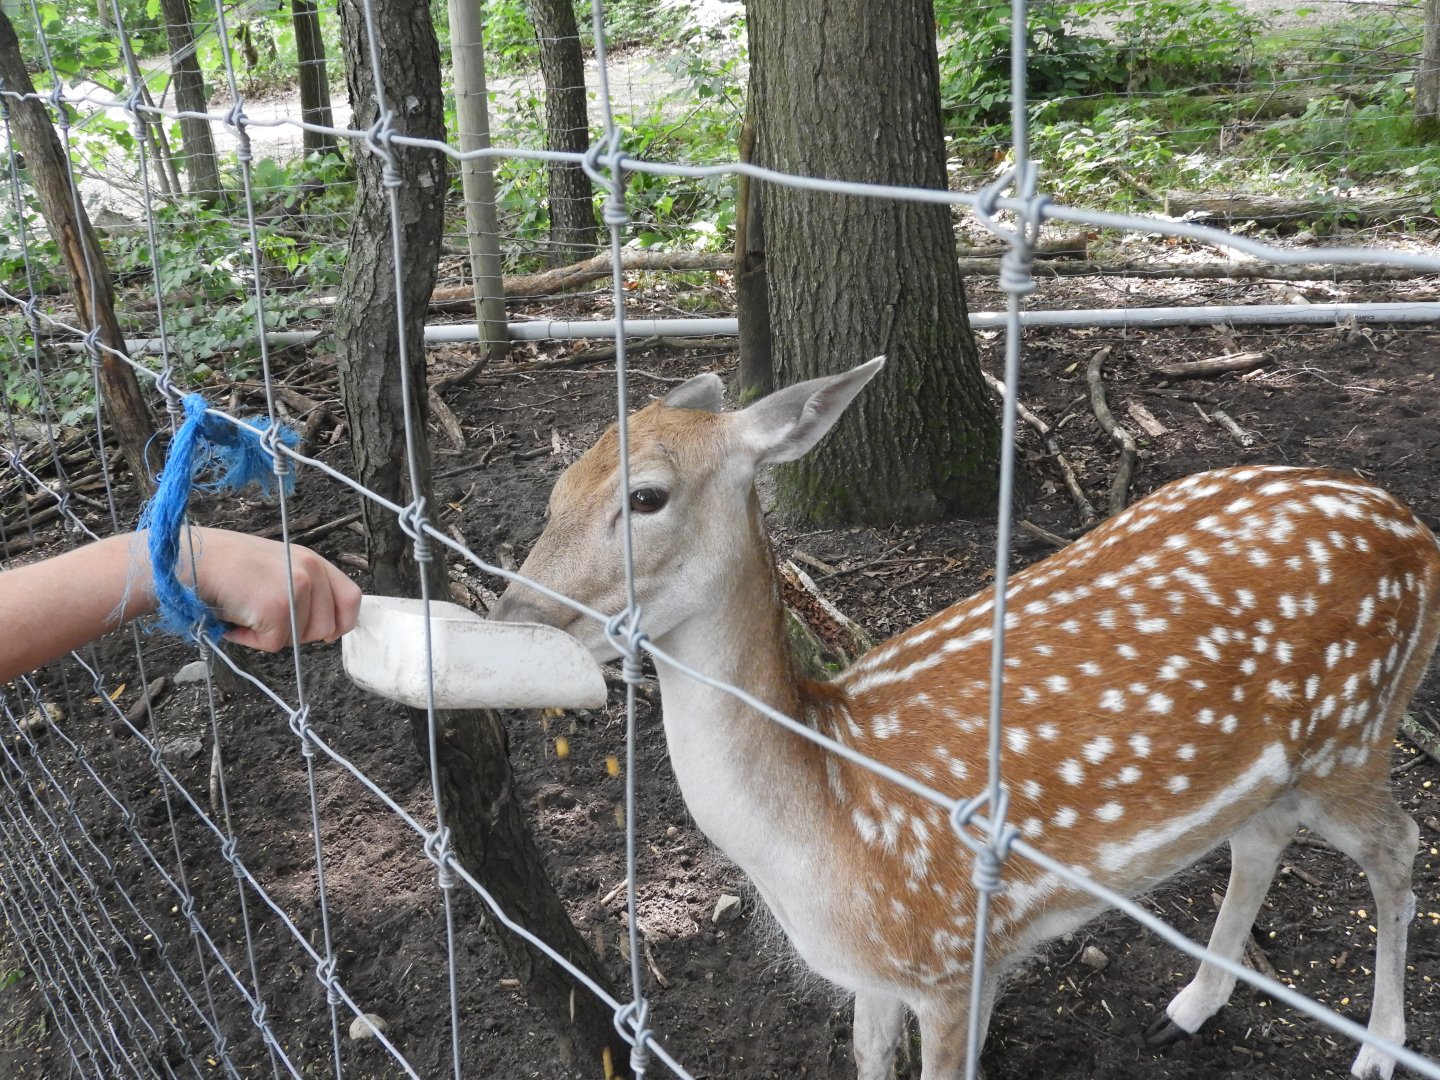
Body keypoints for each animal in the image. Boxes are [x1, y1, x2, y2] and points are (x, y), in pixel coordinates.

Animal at [489, 357, 1440, 1080]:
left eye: (646, 497)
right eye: (558, 486)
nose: (507, 617)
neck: (827, 815)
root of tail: (1417, 532)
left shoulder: (957, 959)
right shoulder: (876, 977)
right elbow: (869, 1060)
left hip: (1358, 732)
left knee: (1400, 843)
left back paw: (1378, 1051)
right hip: (1285, 765)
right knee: (1261, 836)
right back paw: (1189, 1009)